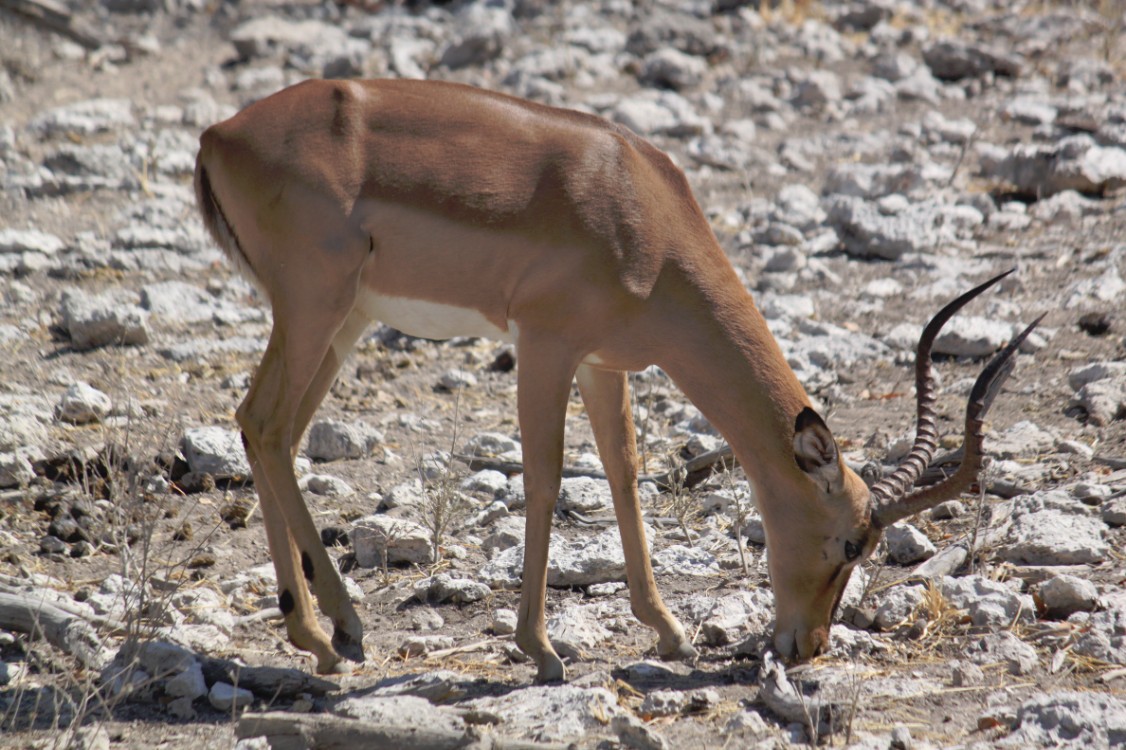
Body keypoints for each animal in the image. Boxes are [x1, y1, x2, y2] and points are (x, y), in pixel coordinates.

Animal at [193, 77, 1035, 675]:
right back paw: (328, 632)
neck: (640, 214)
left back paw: (328, 631)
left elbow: (623, 473)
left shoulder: (605, 364)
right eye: (853, 542)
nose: (809, 646)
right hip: (315, 309)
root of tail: (217, 135)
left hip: (344, 323)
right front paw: (541, 650)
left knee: (273, 433)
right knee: (261, 421)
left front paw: (668, 632)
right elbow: (544, 477)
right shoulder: (545, 344)